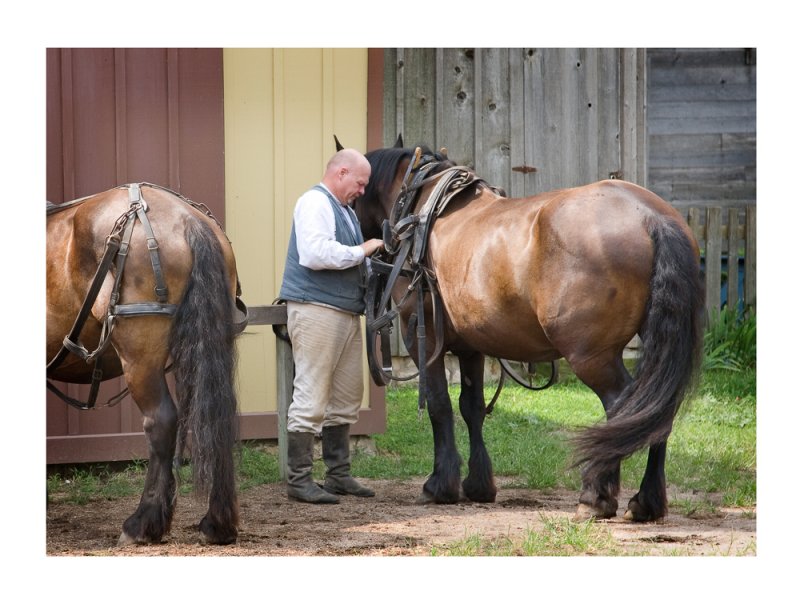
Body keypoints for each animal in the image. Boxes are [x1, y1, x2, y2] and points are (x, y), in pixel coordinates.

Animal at [46, 183, 245, 544]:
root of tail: (189, 221)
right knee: (213, 417)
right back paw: (217, 523)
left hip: (140, 356)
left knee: (161, 422)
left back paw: (142, 523)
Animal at [354, 143, 704, 524]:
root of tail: (652, 217)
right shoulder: (471, 346)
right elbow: (471, 407)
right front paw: (478, 485)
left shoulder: (426, 338)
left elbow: (439, 405)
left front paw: (439, 485)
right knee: (655, 412)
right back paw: (645, 502)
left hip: (592, 357)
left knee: (624, 407)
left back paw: (595, 497)